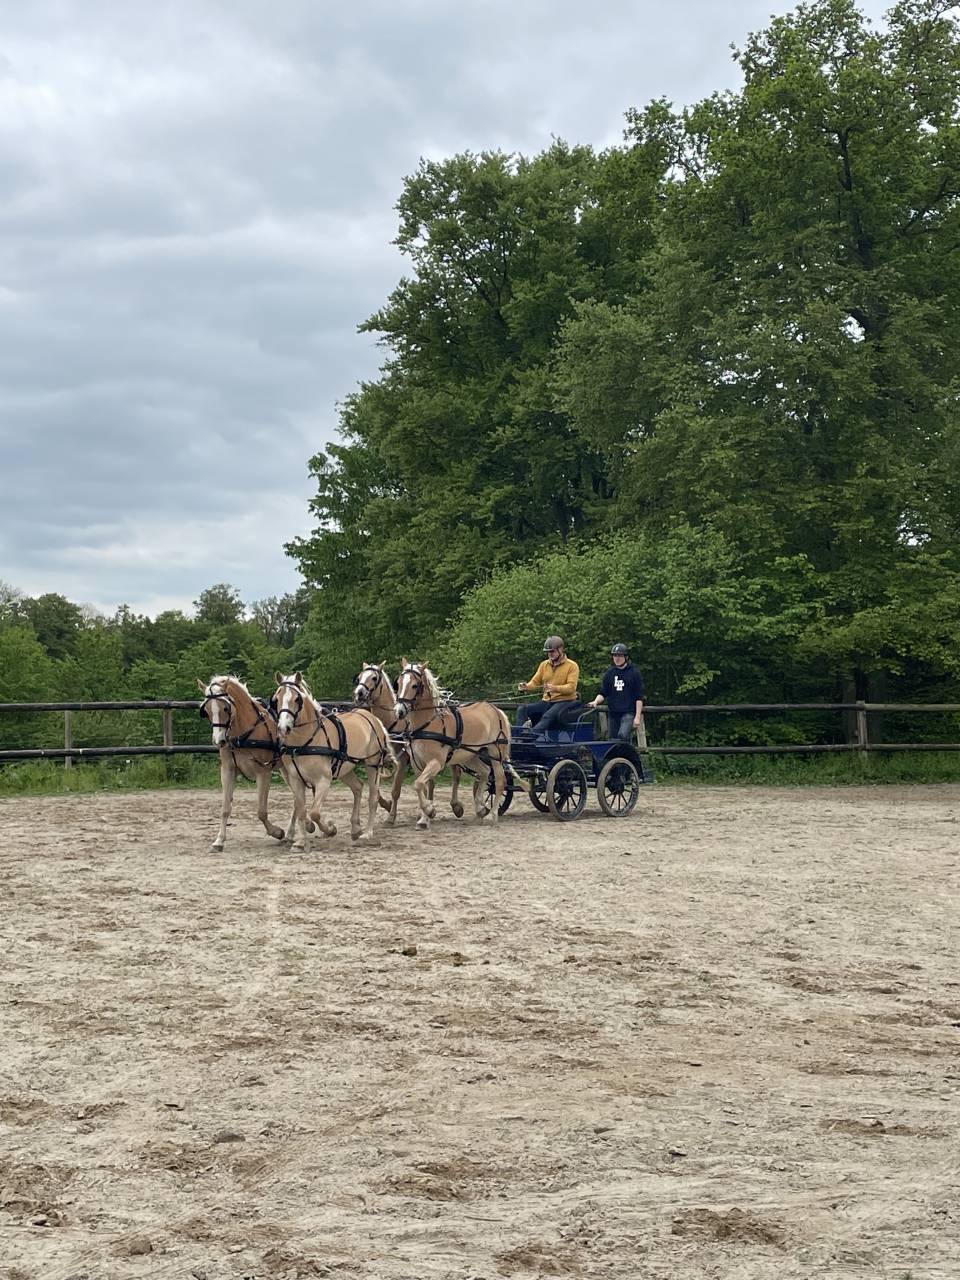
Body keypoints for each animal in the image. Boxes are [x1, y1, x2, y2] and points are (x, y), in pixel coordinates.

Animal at [197, 674, 300, 853]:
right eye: (207, 710)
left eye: (226, 708)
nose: (219, 741)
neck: (244, 733)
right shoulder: (228, 771)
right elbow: (225, 808)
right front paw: (219, 841)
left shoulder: (263, 773)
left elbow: (261, 811)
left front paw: (277, 832)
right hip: (286, 771)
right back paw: (291, 834)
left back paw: (290, 834)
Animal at [273, 671, 396, 849]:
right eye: (276, 699)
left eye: (297, 699)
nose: (284, 728)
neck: (305, 741)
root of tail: (372, 717)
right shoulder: (296, 780)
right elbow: (302, 810)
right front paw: (301, 840)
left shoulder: (324, 780)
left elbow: (315, 813)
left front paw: (330, 829)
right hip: (345, 768)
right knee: (358, 787)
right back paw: (355, 828)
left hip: (373, 764)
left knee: (373, 797)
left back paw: (367, 833)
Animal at [354, 662, 472, 825]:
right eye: (359, 677)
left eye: (374, 678)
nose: (359, 693)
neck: (394, 721)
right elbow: (376, 788)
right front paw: (388, 806)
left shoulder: (402, 758)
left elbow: (396, 789)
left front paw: (391, 816)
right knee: (432, 782)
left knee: (456, 775)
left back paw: (455, 806)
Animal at [392, 660, 513, 829]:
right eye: (399, 683)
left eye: (415, 685)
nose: (399, 711)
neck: (427, 724)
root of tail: (496, 710)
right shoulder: (418, 764)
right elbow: (423, 787)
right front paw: (424, 819)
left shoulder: (436, 762)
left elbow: (418, 784)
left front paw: (429, 810)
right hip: (470, 755)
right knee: (484, 772)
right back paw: (480, 808)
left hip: (495, 754)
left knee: (500, 781)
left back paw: (492, 815)